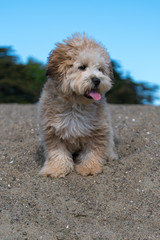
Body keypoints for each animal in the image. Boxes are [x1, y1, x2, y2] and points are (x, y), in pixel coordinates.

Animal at [38, 32, 117, 177]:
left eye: (100, 69)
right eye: (82, 67)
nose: (97, 80)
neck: (76, 104)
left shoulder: (98, 130)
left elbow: (93, 151)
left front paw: (89, 168)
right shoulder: (52, 131)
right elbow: (57, 152)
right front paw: (55, 169)